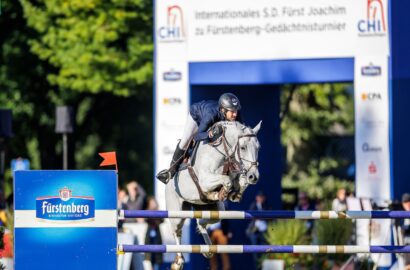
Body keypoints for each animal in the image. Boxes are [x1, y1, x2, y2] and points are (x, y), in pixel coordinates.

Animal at [165, 121, 262, 270]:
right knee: (177, 231)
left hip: (212, 210)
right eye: (243, 147)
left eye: (258, 148)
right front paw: (223, 192)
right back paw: (178, 261)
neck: (222, 152)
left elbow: (238, 181)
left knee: (202, 222)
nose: (254, 176)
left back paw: (208, 249)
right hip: (177, 213)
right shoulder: (205, 180)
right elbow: (226, 180)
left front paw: (235, 192)